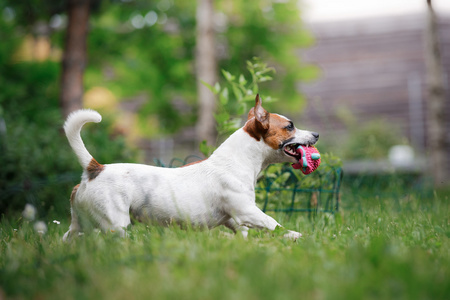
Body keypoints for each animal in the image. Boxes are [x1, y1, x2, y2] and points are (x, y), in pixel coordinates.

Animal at [62, 96, 320, 241]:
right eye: (290, 126)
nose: (316, 134)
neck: (237, 160)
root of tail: (95, 168)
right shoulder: (247, 212)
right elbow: (273, 224)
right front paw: (296, 236)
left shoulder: (234, 221)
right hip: (116, 225)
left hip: (79, 226)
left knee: (69, 238)